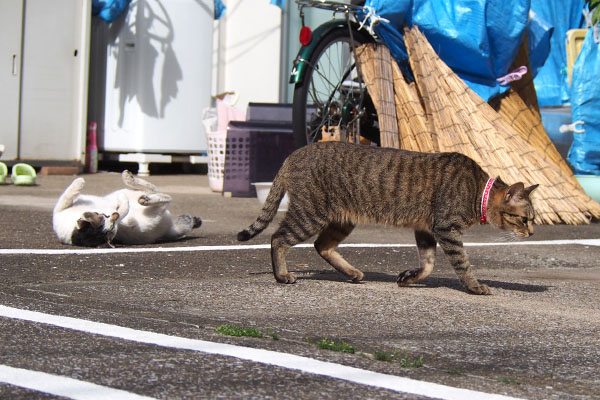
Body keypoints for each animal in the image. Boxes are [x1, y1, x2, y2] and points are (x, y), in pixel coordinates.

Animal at [52, 170, 202, 247]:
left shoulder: (60, 207)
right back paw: (143, 196)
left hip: (128, 192)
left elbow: (68, 194)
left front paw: (79, 181)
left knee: (152, 190)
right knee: (162, 196)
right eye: (111, 230)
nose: (114, 215)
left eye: (103, 215)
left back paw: (129, 178)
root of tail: (167, 231)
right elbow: (124, 208)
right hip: (153, 209)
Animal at [239, 142, 540, 296]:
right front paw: (475, 286)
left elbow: (428, 264)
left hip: (341, 220)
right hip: (310, 214)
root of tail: (295, 152)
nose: (532, 233)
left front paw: (409, 277)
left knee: (321, 246)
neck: (477, 191)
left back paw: (353, 273)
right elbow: (462, 264)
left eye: (532, 220)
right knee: (278, 238)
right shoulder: (446, 229)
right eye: (525, 220)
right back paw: (282, 275)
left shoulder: (426, 230)